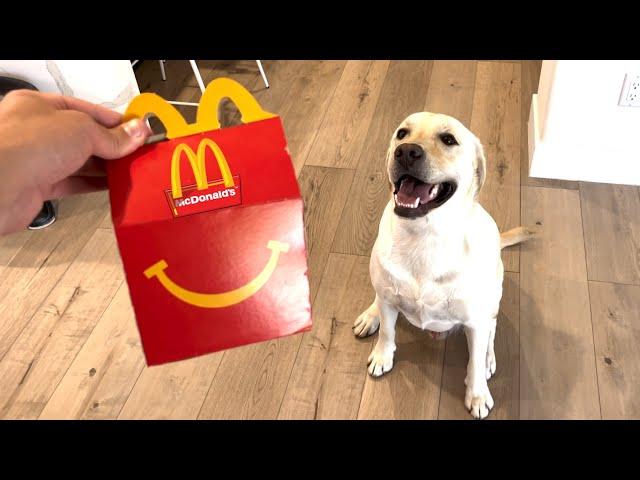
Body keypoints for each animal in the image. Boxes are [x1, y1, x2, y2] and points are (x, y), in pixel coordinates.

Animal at [356, 111, 528, 416]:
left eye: (449, 140)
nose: (406, 152)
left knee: (492, 329)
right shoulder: (389, 299)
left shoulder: (476, 320)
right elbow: (388, 331)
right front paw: (382, 355)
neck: (424, 234)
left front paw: (477, 394)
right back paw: (370, 315)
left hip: (494, 296)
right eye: (402, 133)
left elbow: (474, 362)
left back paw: (488, 358)